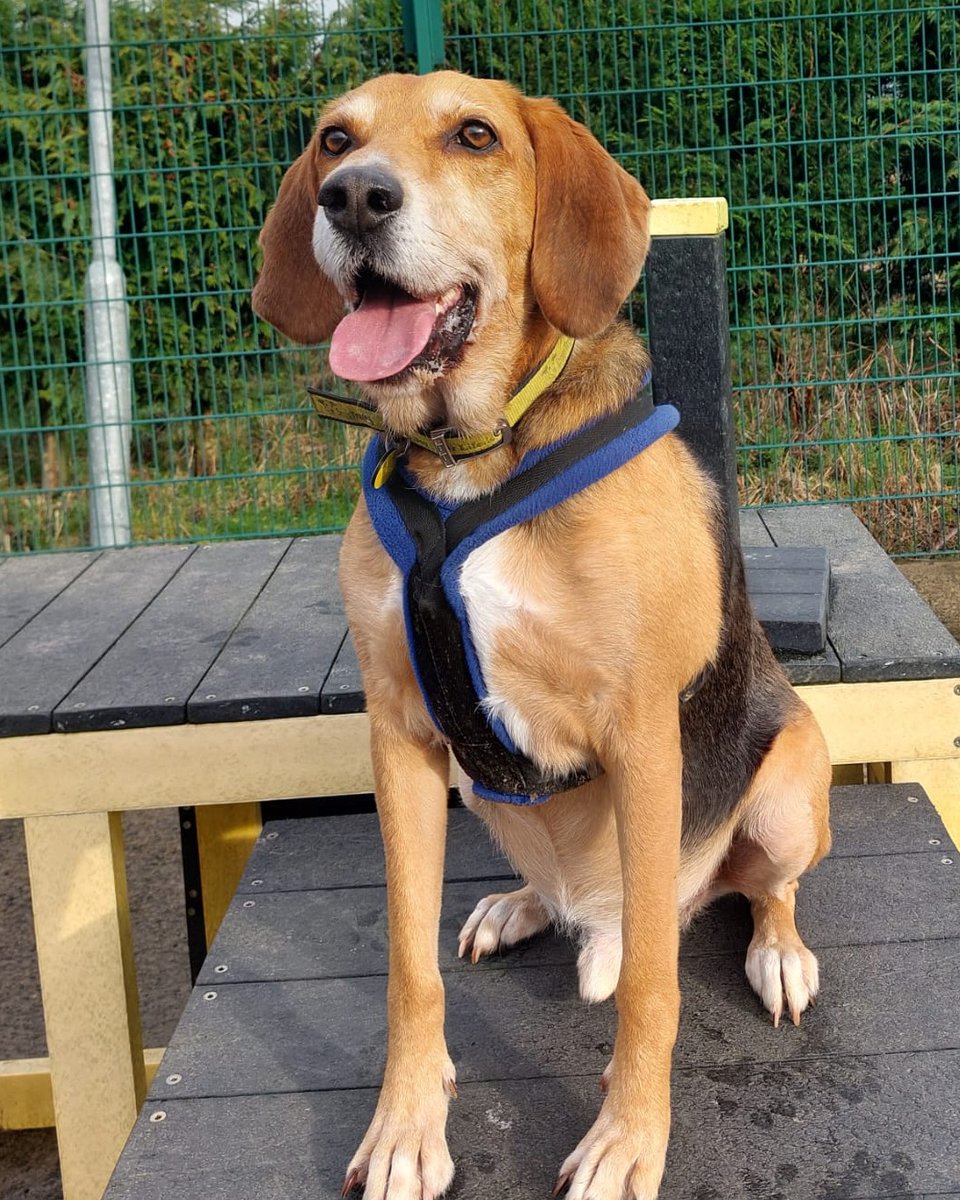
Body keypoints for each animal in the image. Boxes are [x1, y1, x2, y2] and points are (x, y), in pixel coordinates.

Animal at [250, 72, 830, 1200]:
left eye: (475, 135)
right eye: (335, 139)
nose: (354, 198)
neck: (470, 450)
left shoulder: (642, 735)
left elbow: (652, 987)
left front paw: (628, 1140)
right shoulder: (398, 735)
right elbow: (408, 971)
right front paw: (406, 1128)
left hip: (786, 789)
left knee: (750, 896)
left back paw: (774, 950)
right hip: (477, 794)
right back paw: (521, 904)